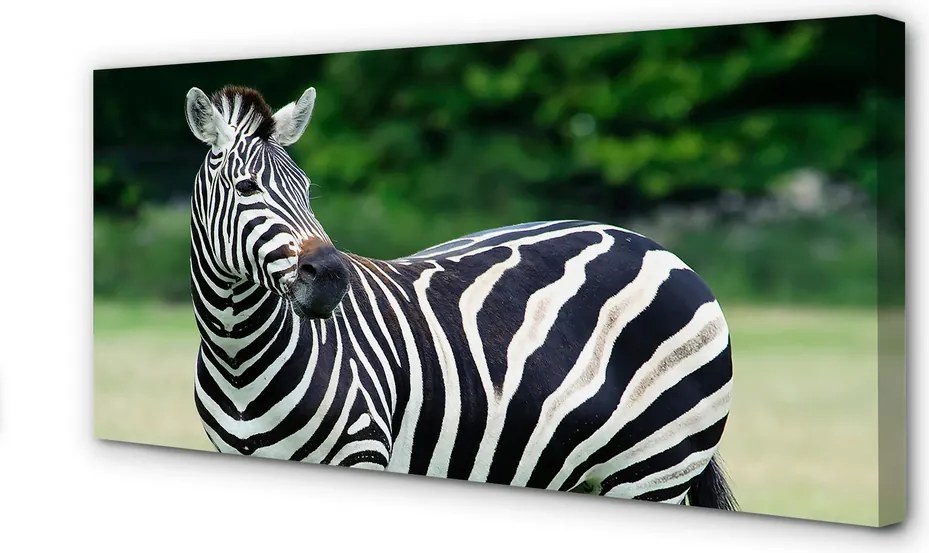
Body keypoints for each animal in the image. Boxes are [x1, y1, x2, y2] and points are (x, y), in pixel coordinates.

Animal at [185, 84, 736, 509]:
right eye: (246, 187)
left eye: (305, 189)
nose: (332, 279)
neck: (239, 355)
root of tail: (655, 247)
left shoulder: (362, 452)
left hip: (655, 470)